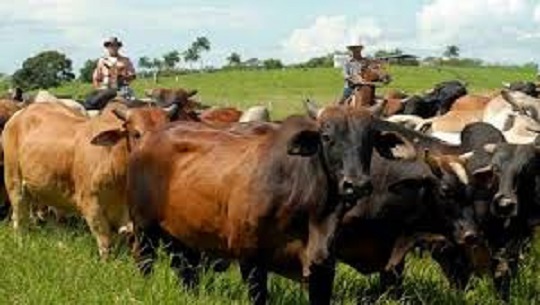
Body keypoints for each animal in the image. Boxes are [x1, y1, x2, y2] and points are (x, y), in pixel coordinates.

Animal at [3, 101, 177, 255]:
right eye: (136, 134)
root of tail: (20, 113)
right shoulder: (91, 205)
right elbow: (105, 243)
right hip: (14, 182)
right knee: (19, 218)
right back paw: (21, 243)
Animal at [129, 103, 416, 302]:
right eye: (326, 136)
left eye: (370, 139)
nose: (356, 184)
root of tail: (149, 138)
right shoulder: (251, 259)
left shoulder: (323, 267)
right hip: (144, 230)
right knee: (145, 263)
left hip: (183, 238)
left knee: (186, 270)